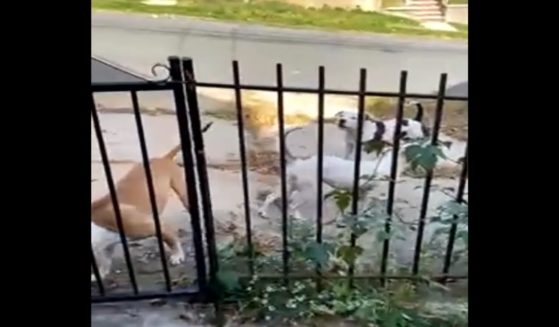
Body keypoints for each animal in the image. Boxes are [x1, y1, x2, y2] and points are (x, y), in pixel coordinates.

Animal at [91, 122, 213, 282]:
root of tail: (163, 158)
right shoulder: (106, 246)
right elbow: (105, 262)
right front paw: (99, 275)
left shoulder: (153, 226)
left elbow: (172, 240)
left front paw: (177, 256)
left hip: (183, 192)